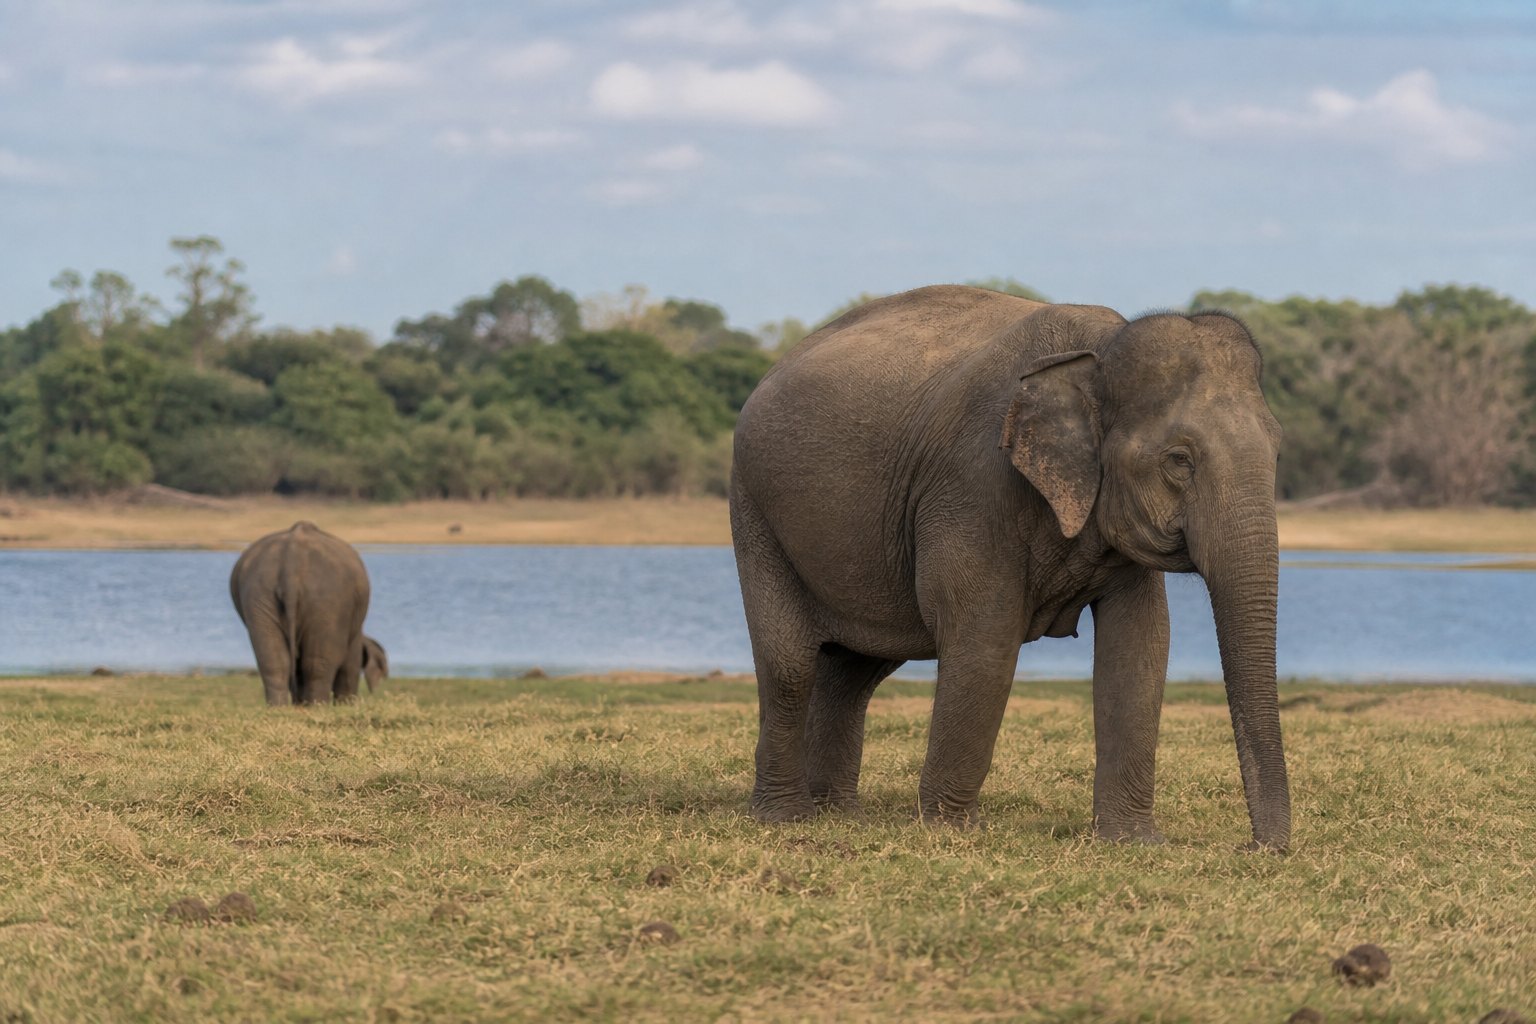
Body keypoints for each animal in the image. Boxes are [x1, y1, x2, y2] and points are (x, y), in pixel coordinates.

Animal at [229, 521, 388, 706]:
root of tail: (291, 565)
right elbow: (350, 661)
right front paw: (346, 705)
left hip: (259, 595)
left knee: (273, 660)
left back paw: (280, 707)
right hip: (327, 600)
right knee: (318, 664)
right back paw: (317, 706)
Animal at [729, 285, 1290, 849]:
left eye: (1278, 450)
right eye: (1179, 460)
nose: (1256, 847)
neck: (1101, 348)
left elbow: (1141, 644)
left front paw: (1132, 842)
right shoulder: (972, 485)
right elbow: (985, 637)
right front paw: (950, 832)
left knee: (854, 671)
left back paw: (841, 815)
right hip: (755, 512)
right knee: (791, 665)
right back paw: (787, 817)